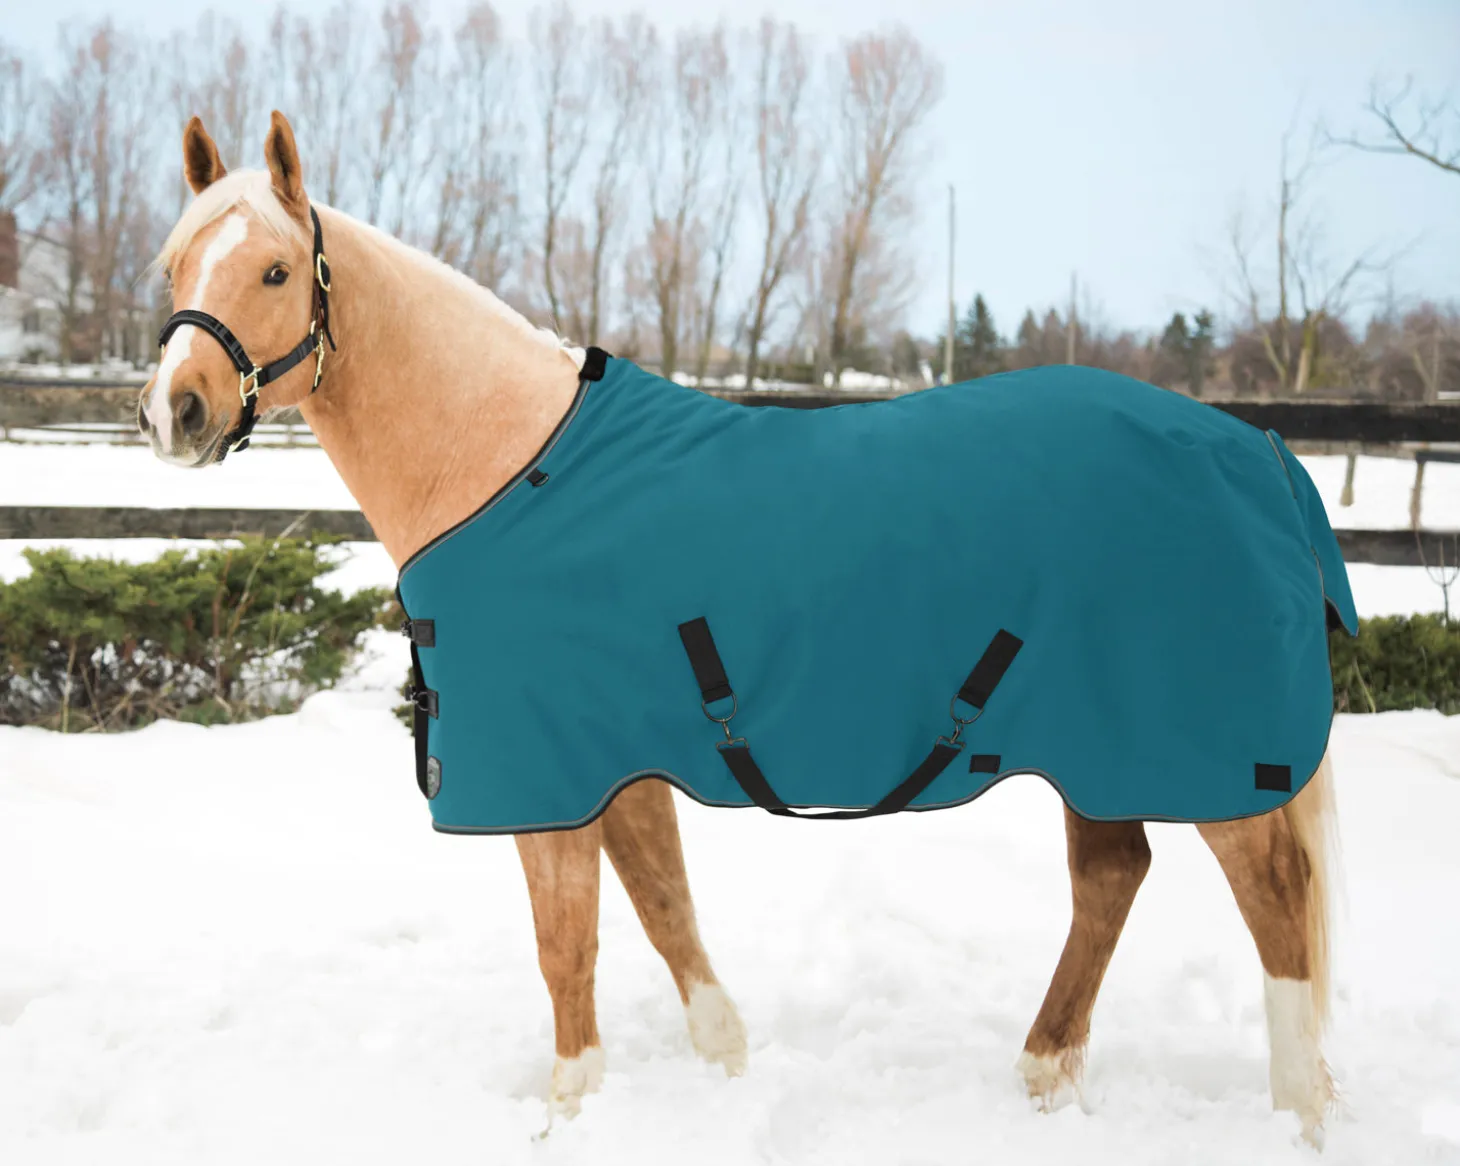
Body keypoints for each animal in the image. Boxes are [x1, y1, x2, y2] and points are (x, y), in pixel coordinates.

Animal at [138, 111, 1339, 1145]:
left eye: (276, 270)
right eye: (172, 267)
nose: (174, 411)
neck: (508, 466)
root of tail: (1258, 452)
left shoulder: (547, 774)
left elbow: (566, 945)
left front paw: (568, 1113)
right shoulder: (613, 760)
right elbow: (663, 907)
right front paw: (723, 1064)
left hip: (1199, 753)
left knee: (1275, 901)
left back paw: (1297, 1115)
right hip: (1098, 747)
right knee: (1112, 875)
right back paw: (1043, 1076)